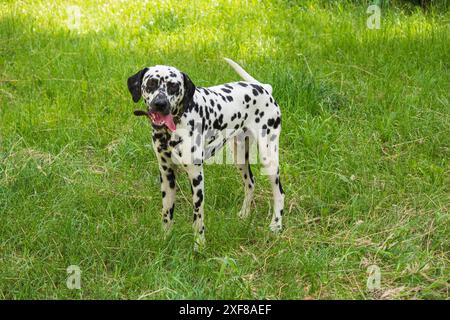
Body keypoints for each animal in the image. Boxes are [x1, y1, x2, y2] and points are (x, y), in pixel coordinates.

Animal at [127, 58, 284, 251]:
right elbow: (166, 212)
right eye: (151, 83)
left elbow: (198, 216)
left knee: (279, 193)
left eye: (173, 86)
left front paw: (199, 244)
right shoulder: (166, 174)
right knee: (250, 183)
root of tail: (263, 88)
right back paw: (245, 214)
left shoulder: (196, 176)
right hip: (239, 156)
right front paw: (165, 238)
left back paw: (276, 225)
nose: (160, 103)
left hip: (268, 157)